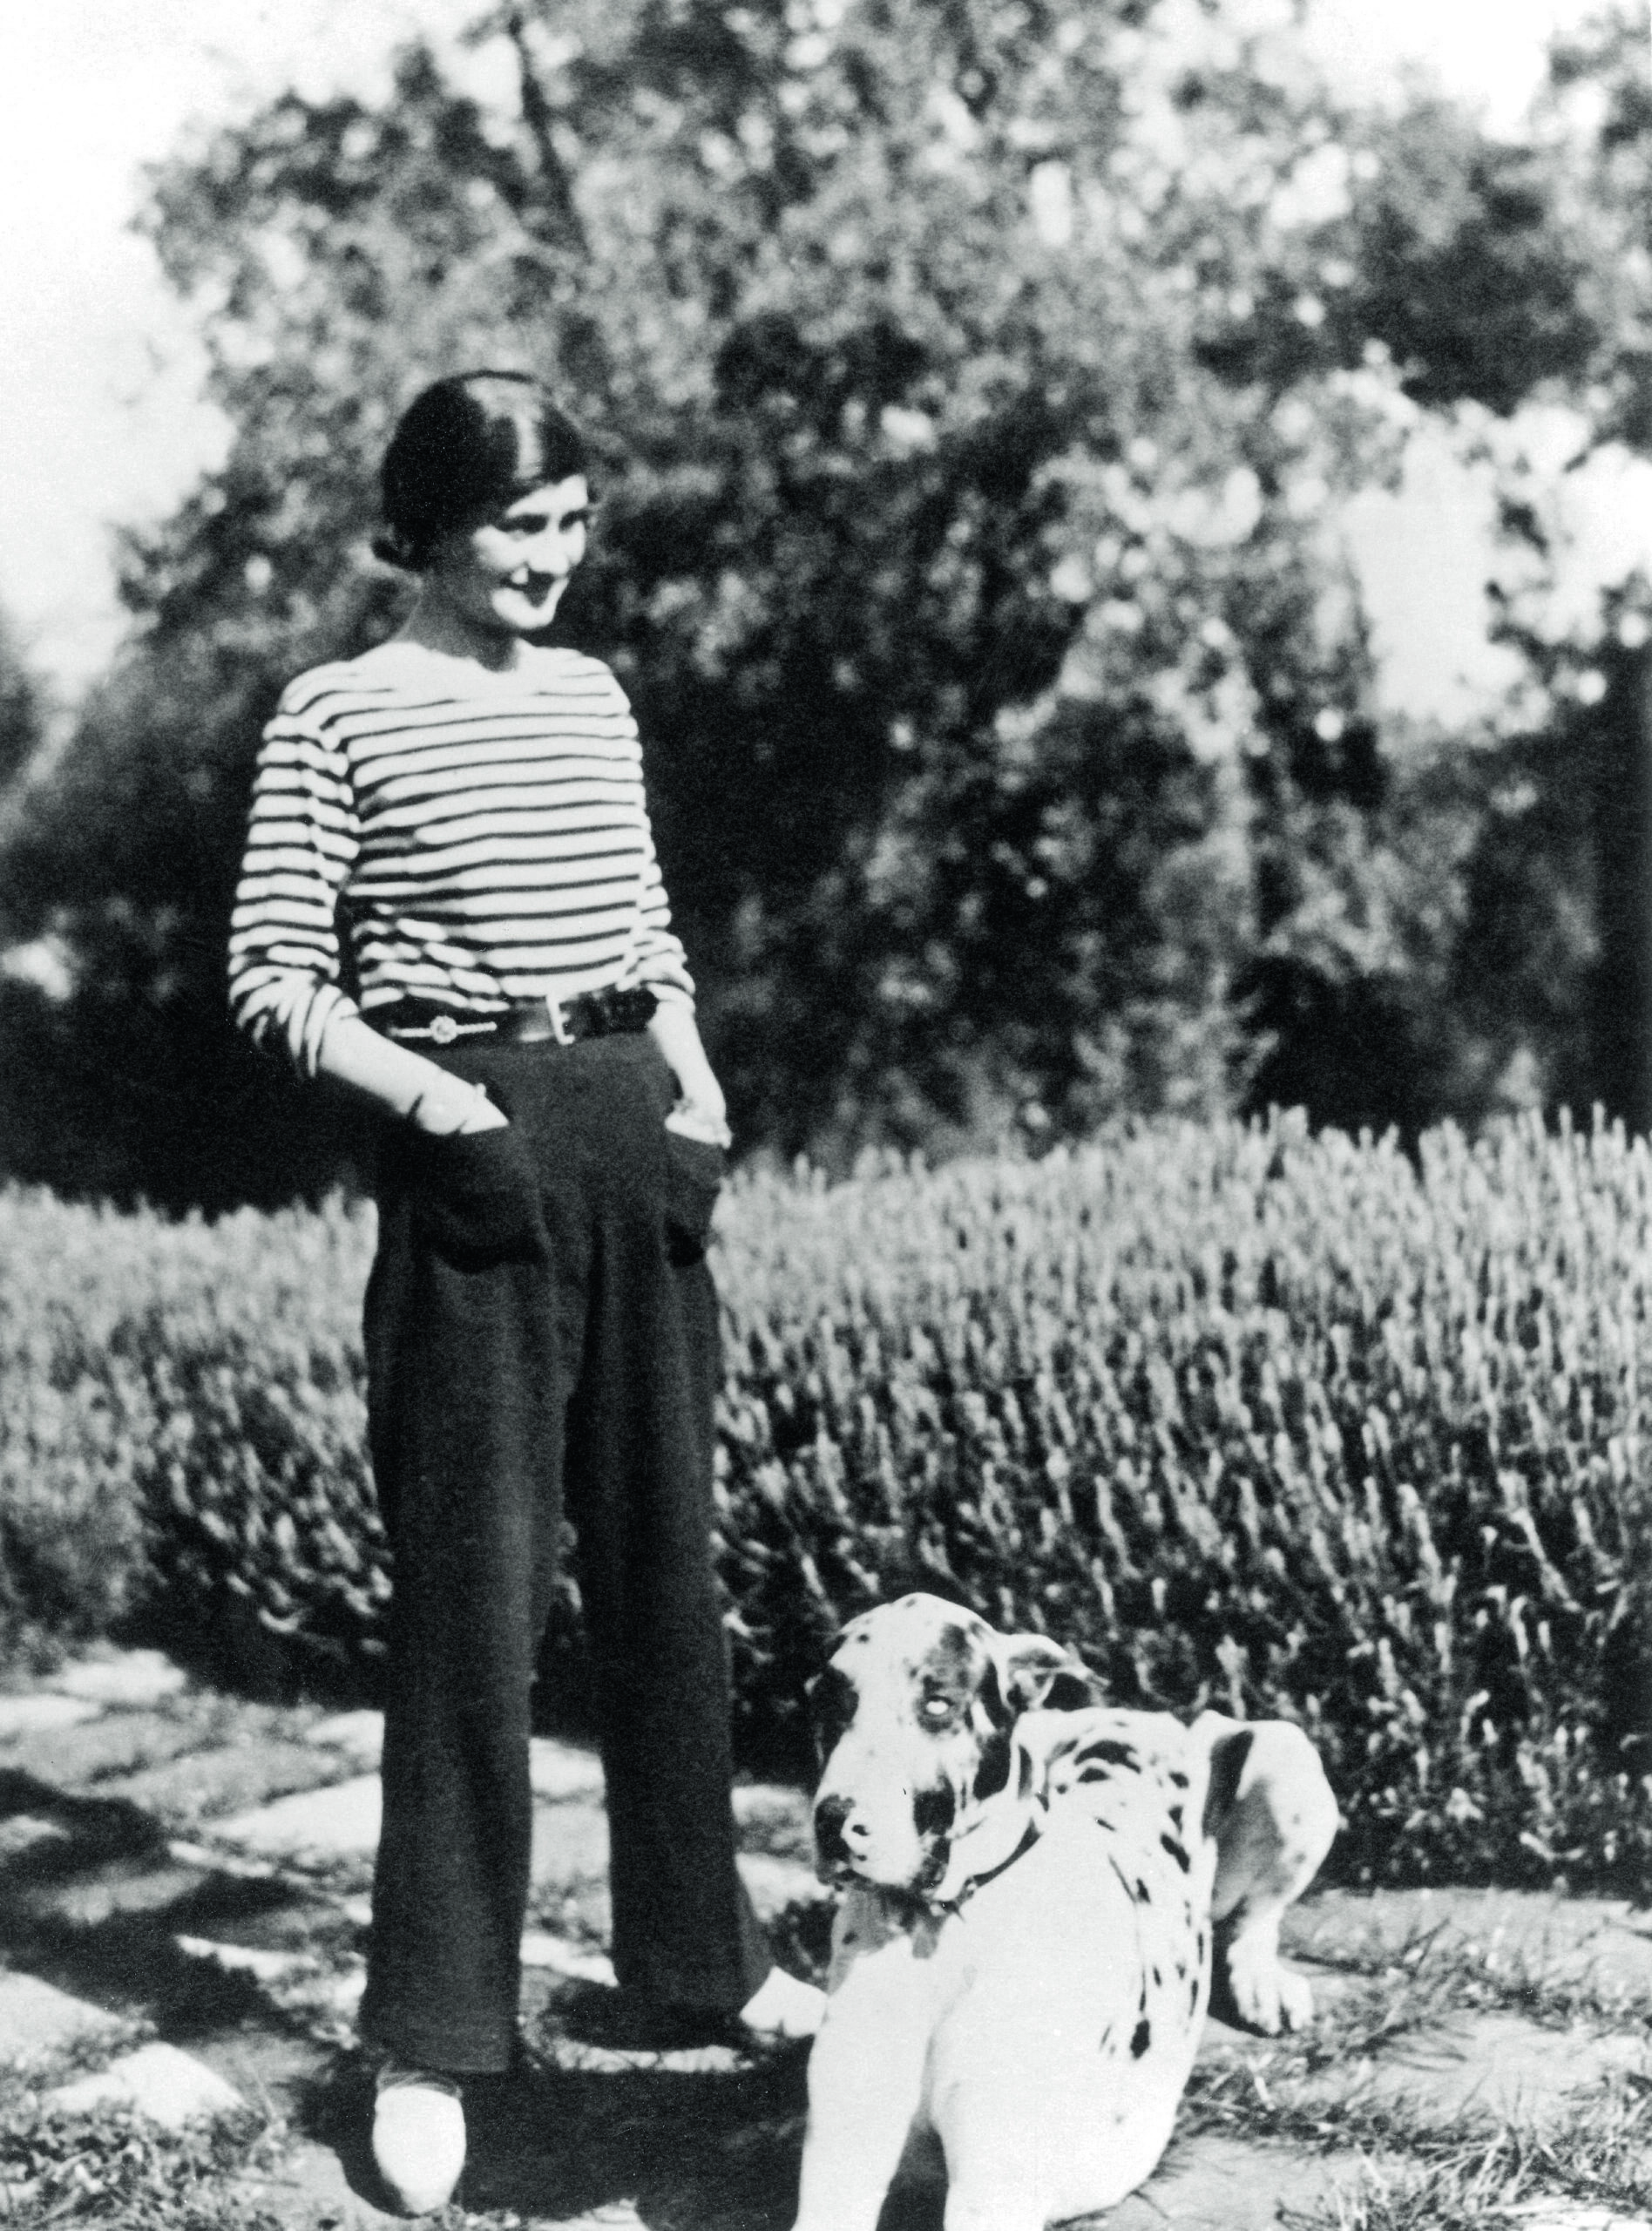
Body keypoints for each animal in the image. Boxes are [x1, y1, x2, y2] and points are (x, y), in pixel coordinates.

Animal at [789, 1588, 1337, 2231]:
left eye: (938, 1703)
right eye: (828, 1705)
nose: (834, 1822)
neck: (943, 1926)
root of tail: (1152, 1715)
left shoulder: (992, 2191)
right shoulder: (843, 2160)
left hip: (1286, 1752)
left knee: (1252, 1921)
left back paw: (1263, 1985)